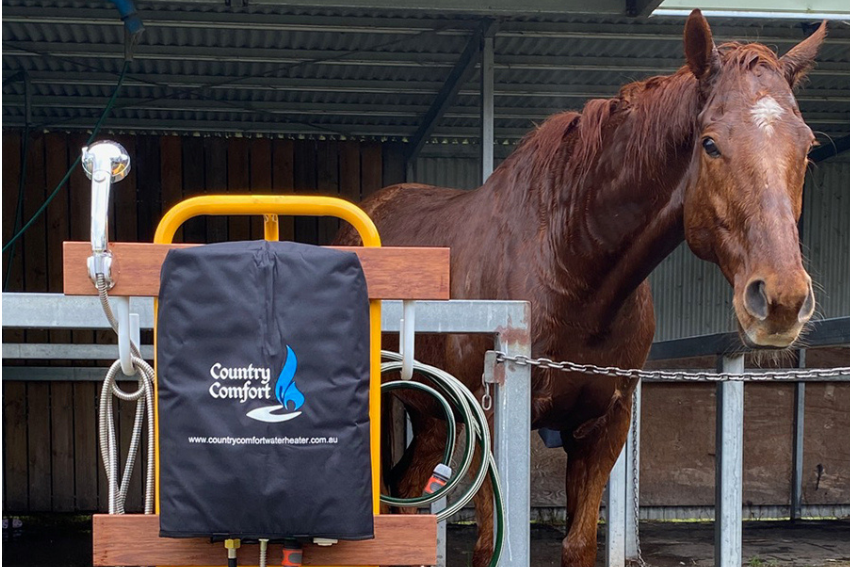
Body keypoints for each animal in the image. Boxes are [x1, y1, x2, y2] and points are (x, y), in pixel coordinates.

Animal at [335, 10, 826, 567]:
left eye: (807, 148)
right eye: (710, 143)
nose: (782, 300)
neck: (569, 267)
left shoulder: (601, 430)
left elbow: (578, 543)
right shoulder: (492, 421)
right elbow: (487, 545)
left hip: (433, 413)